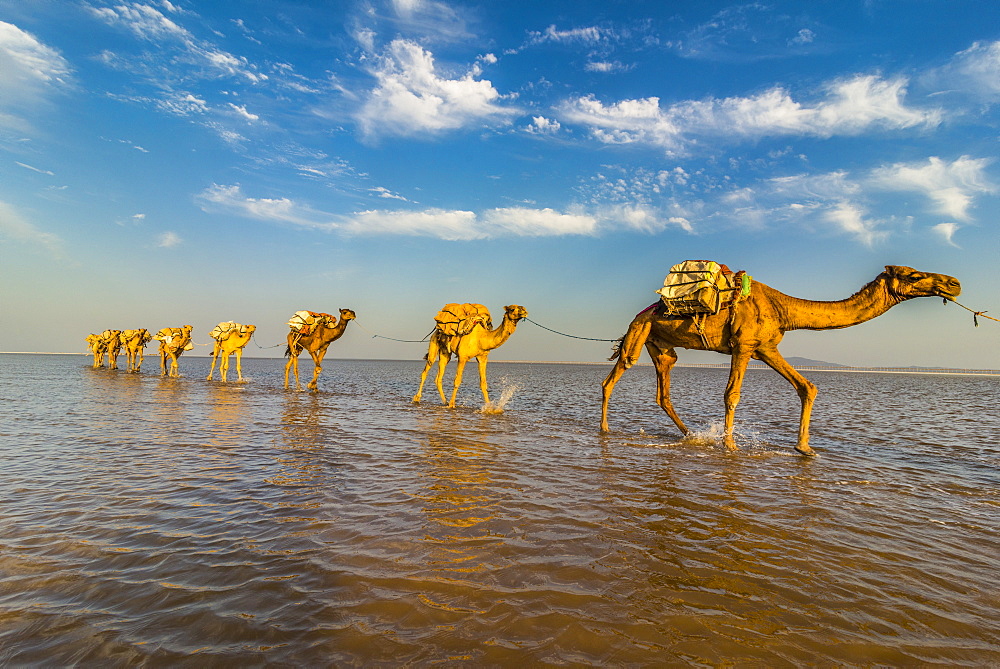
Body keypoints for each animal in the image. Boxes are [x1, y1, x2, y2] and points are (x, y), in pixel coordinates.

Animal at [600, 264, 960, 454]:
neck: (784, 308)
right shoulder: (744, 345)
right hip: (639, 332)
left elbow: (807, 386)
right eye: (913, 275)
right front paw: (730, 446)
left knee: (663, 389)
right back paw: (604, 428)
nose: (953, 283)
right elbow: (732, 395)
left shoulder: (767, 348)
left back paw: (690, 434)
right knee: (614, 376)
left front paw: (805, 449)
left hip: (661, 346)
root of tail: (642, 312)